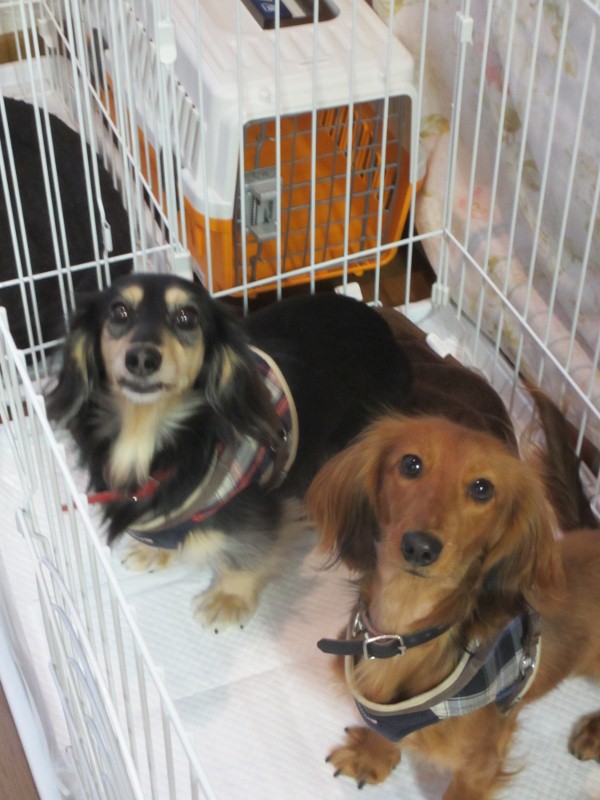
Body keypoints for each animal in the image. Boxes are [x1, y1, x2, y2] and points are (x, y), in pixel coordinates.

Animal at [45, 272, 414, 629]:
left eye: (186, 317)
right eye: (119, 312)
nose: (141, 358)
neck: (150, 432)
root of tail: (378, 322)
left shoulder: (253, 504)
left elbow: (246, 550)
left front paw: (229, 598)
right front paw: (154, 551)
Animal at [306, 400, 600, 798]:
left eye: (482, 488)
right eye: (410, 464)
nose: (420, 547)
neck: (403, 632)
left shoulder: (481, 760)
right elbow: (387, 730)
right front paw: (373, 753)